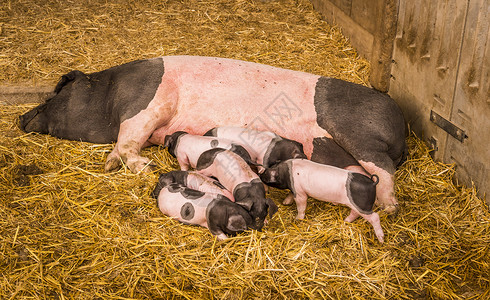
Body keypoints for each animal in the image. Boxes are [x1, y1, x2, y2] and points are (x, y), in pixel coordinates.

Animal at [19, 55, 408, 213]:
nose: (21, 116)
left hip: (360, 135)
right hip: (331, 150)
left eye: (55, 94)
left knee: (384, 168)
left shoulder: (148, 105)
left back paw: (388, 207)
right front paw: (111, 165)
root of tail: (402, 127)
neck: (110, 94)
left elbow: (129, 138)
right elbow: (122, 144)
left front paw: (142, 167)